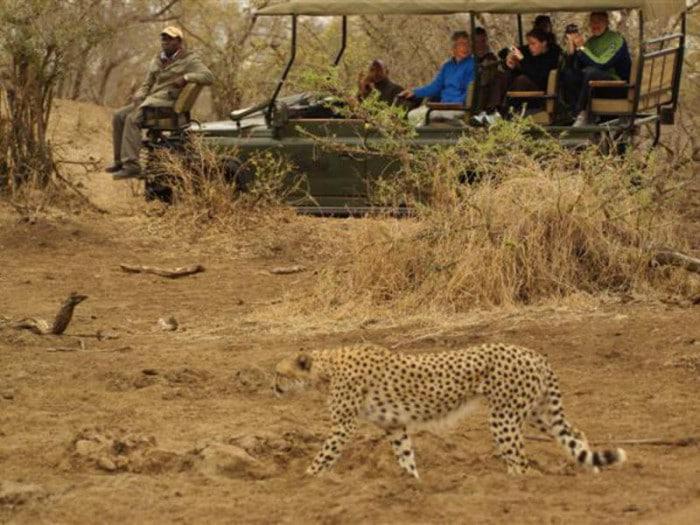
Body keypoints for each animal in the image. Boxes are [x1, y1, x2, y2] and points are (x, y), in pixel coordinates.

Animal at [270, 342, 628, 476]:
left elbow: (323, 456)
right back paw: (592, 474)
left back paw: (515, 490)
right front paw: (412, 485)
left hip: (504, 417)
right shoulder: (395, 426)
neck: (326, 368)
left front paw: (305, 481)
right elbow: (406, 456)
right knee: (574, 433)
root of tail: (531, 351)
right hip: (536, 411)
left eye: (279, 373)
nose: (272, 387)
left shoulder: (343, 426)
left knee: (520, 460)